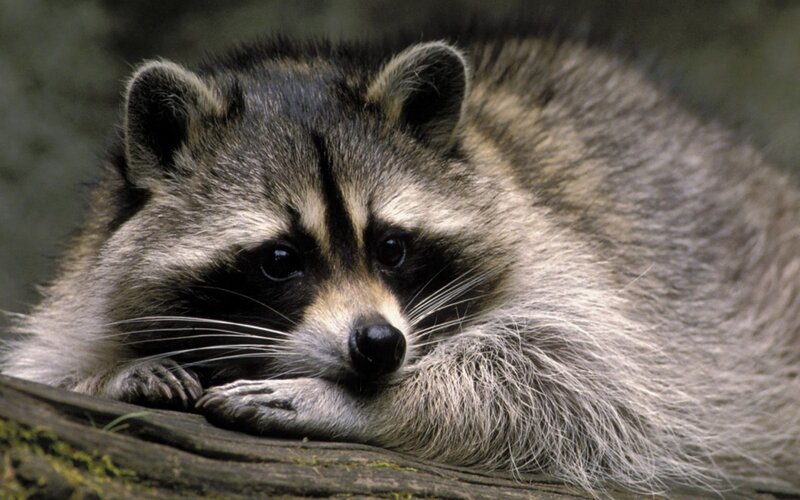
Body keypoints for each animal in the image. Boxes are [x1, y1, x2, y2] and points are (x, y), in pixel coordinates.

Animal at [2, 32, 799, 494]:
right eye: (280, 259)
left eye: (391, 247)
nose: (379, 345)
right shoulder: (89, 271)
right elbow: (46, 362)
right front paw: (112, 373)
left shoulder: (567, 258)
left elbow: (579, 383)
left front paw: (357, 402)